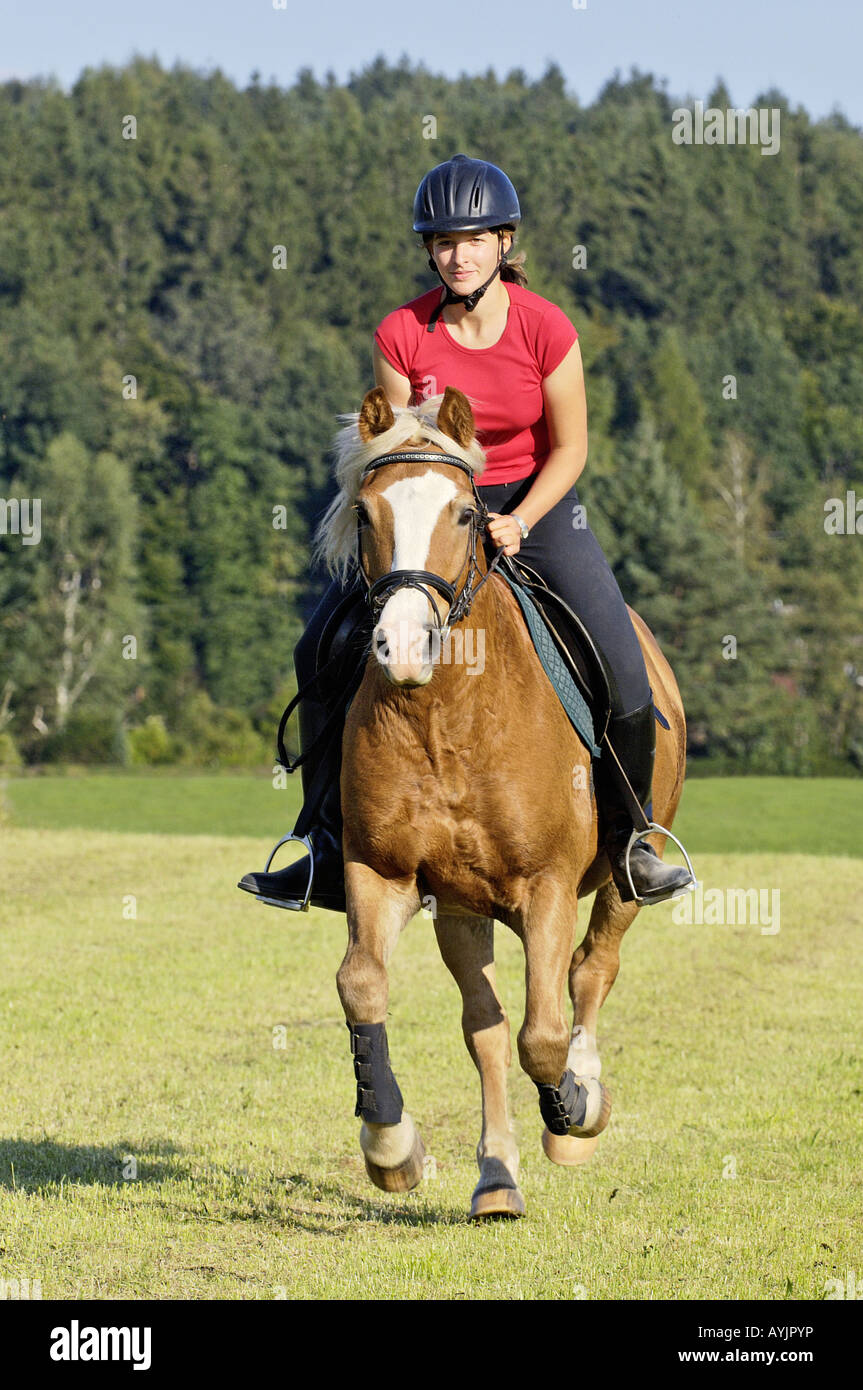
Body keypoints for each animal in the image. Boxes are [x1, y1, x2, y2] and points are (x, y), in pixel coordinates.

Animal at [311, 383, 686, 1217]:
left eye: (463, 515)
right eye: (366, 513)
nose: (402, 646)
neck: (446, 715)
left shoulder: (544, 887)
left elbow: (542, 1035)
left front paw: (573, 1104)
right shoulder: (382, 873)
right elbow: (362, 985)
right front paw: (393, 1149)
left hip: (623, 875)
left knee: (590, 970)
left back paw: (575, 1111)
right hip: (461, 907)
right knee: (483, 1026)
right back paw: (496, 1178)